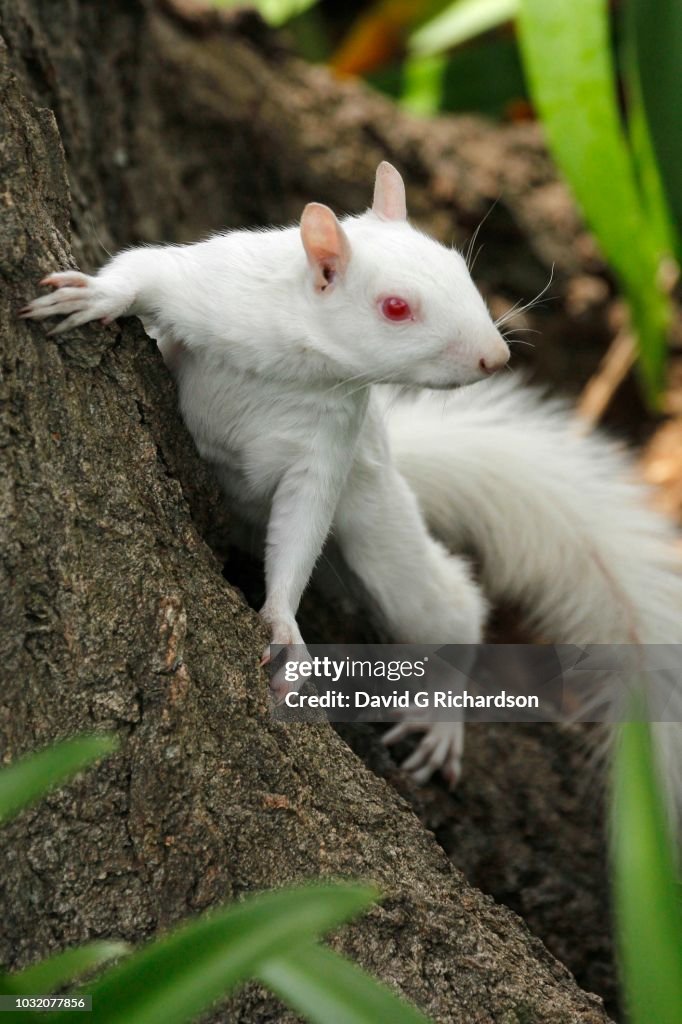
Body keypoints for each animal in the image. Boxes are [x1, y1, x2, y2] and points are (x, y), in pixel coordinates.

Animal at [19, 161, 679, 806]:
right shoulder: (212, 285)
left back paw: (442, 716)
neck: (298, 360)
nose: (496, 358)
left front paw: (283, 622)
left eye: (459, 267)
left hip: (385, 540)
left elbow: (302, 525)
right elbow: (146, 269)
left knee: (453, 611)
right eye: (395, 307)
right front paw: (95, 294)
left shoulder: (329, 443)